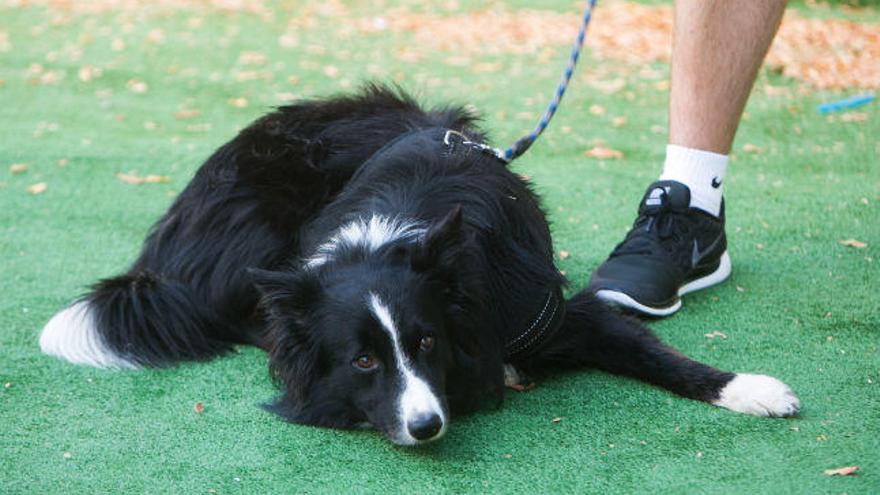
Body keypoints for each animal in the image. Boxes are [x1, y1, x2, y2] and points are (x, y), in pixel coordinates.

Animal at [37, 85, 800, 446]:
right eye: (363, 361)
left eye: (427, 342)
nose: (427, 424)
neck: (389, 234)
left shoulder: (551, 311)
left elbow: (656, 354)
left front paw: (751, 389)